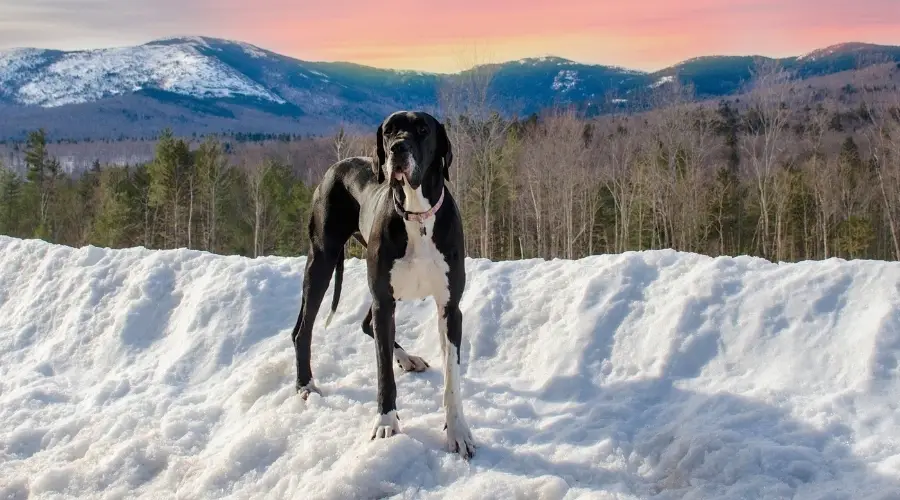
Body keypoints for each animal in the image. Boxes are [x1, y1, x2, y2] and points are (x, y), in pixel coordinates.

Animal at [292, 111, 478, 458]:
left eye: (423, 129)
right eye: (388, 131)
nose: (397, 148)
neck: (418, 215)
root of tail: (336, 166)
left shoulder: (450, 307)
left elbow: (452, 377)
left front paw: (458, 431)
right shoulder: (384, 299)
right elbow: (384, 375)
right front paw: (386, 424)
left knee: (366, 324)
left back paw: (407, 358)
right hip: (323, 261)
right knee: (303, 331)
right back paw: (305, 385)